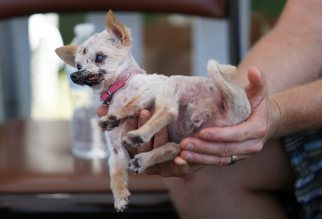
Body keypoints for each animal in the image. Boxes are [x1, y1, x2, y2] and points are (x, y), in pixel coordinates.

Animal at [55, 10, 252, 212]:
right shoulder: (117, 151)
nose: (73, 75)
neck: (121, 86)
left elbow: (132, 104)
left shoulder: (150, 90)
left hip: (172, 84)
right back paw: (142, 158)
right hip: (194, 140)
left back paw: (137, 134)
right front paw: (119, 197)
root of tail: (236, 100)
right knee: (173, 146)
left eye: (100, 58)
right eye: (78, 66)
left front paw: (118, 114)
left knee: (169, 111)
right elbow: (115, 174)